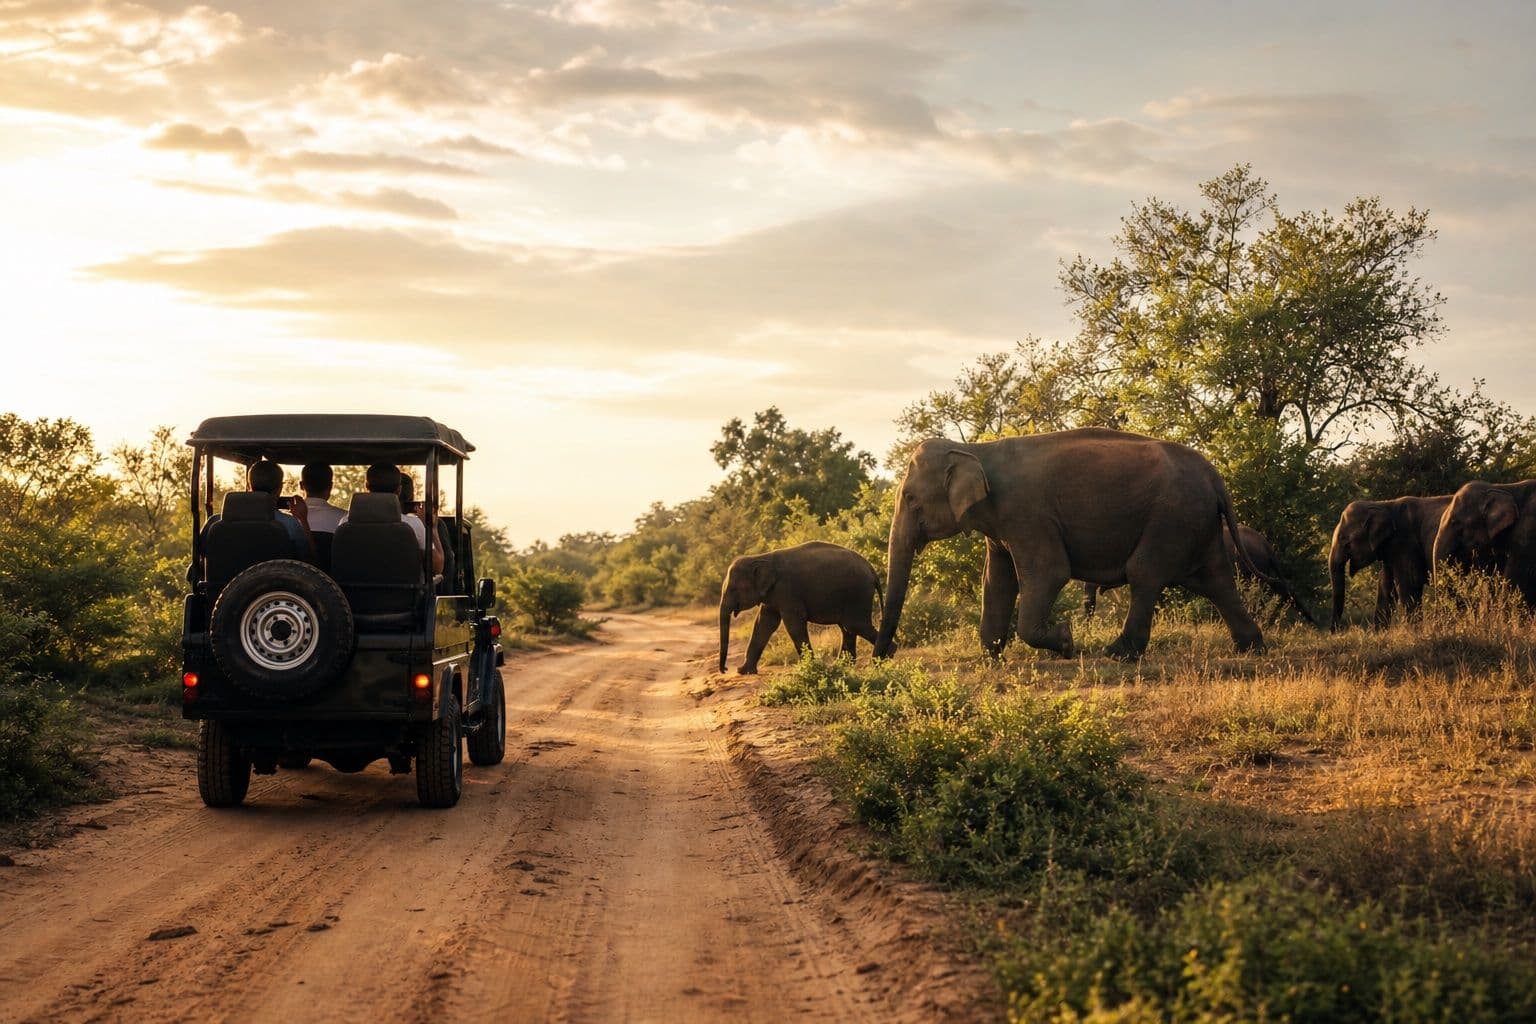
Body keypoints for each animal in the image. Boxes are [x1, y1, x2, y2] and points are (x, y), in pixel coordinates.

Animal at [718, 541, 882, 675]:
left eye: (733, 589)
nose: (725, 669)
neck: (761, 558)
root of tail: (872, 570)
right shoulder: (772, 594)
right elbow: (764, 623)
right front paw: (743, 671)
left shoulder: (787, 590)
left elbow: (793, 624)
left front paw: (810, 666)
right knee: (847, 628)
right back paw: (842, 665)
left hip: (858, 594)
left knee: (855, 625)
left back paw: (881, 661)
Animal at [874, 428, 1264, 662]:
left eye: (910, 499)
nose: (884, 656)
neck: (973, 450)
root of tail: (1215, 476)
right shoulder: (1001, 525)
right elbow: (997, 581)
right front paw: (992, 657)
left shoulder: (1028, 515)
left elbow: (1049, 573)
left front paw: (1065, 641)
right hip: (1197, 521)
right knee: (1217, 581)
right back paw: (1250, 649)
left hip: (1172, 516)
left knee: (1145, 574)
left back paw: (1117, 654)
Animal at [1327, 495, 1454, 629]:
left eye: (1344, 540)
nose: (1335, 631)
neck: (1383, 505)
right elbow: (1386, 589)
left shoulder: (1404, 543)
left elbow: (1409, 584)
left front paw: (1414, 631)